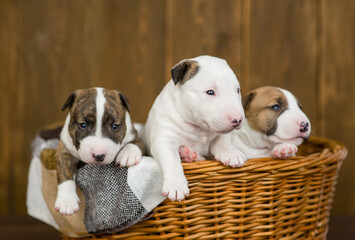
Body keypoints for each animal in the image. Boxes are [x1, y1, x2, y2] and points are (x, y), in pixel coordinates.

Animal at [55, 87, 145, 216]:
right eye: (83, 125)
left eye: (115, 126)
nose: (99, 156)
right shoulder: (64, 149)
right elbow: (65, 172)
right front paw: (67, 202)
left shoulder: (136, 136)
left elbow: (136, 144)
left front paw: (128, 155)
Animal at [140, 55, 246, 202]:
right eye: (210, 92)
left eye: (237, 90)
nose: (238, 120)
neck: (198, 128)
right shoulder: (164, 139)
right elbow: (171, 160)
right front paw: (176, 185)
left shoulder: (219, 134)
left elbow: (222, 140)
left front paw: (231, 153)